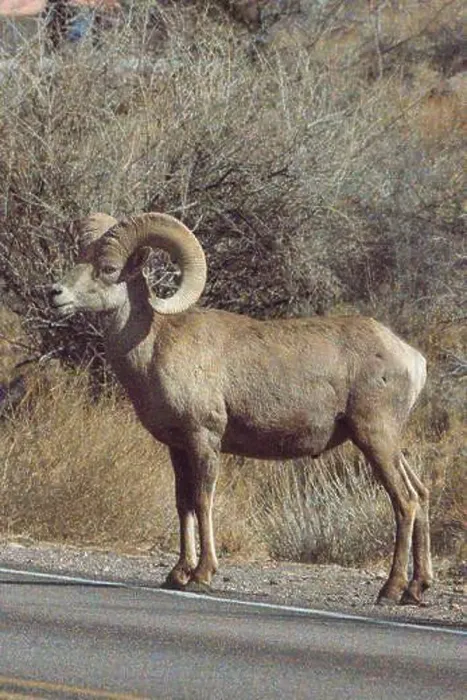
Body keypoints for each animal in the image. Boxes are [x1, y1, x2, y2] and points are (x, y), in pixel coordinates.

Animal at [49, 211, 432, 605]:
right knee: (421, 494)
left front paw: (202, 575)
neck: (156, 344)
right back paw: (416, 589)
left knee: (404, 501)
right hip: (388, 443)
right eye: (80, 257)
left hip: (374, 438)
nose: (55, 293)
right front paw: (177, 574)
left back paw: (391, 590)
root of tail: (412, 358)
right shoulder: (178, 447)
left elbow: (203, 501)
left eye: (109, 268)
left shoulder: (204, 439)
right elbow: (182, 503)